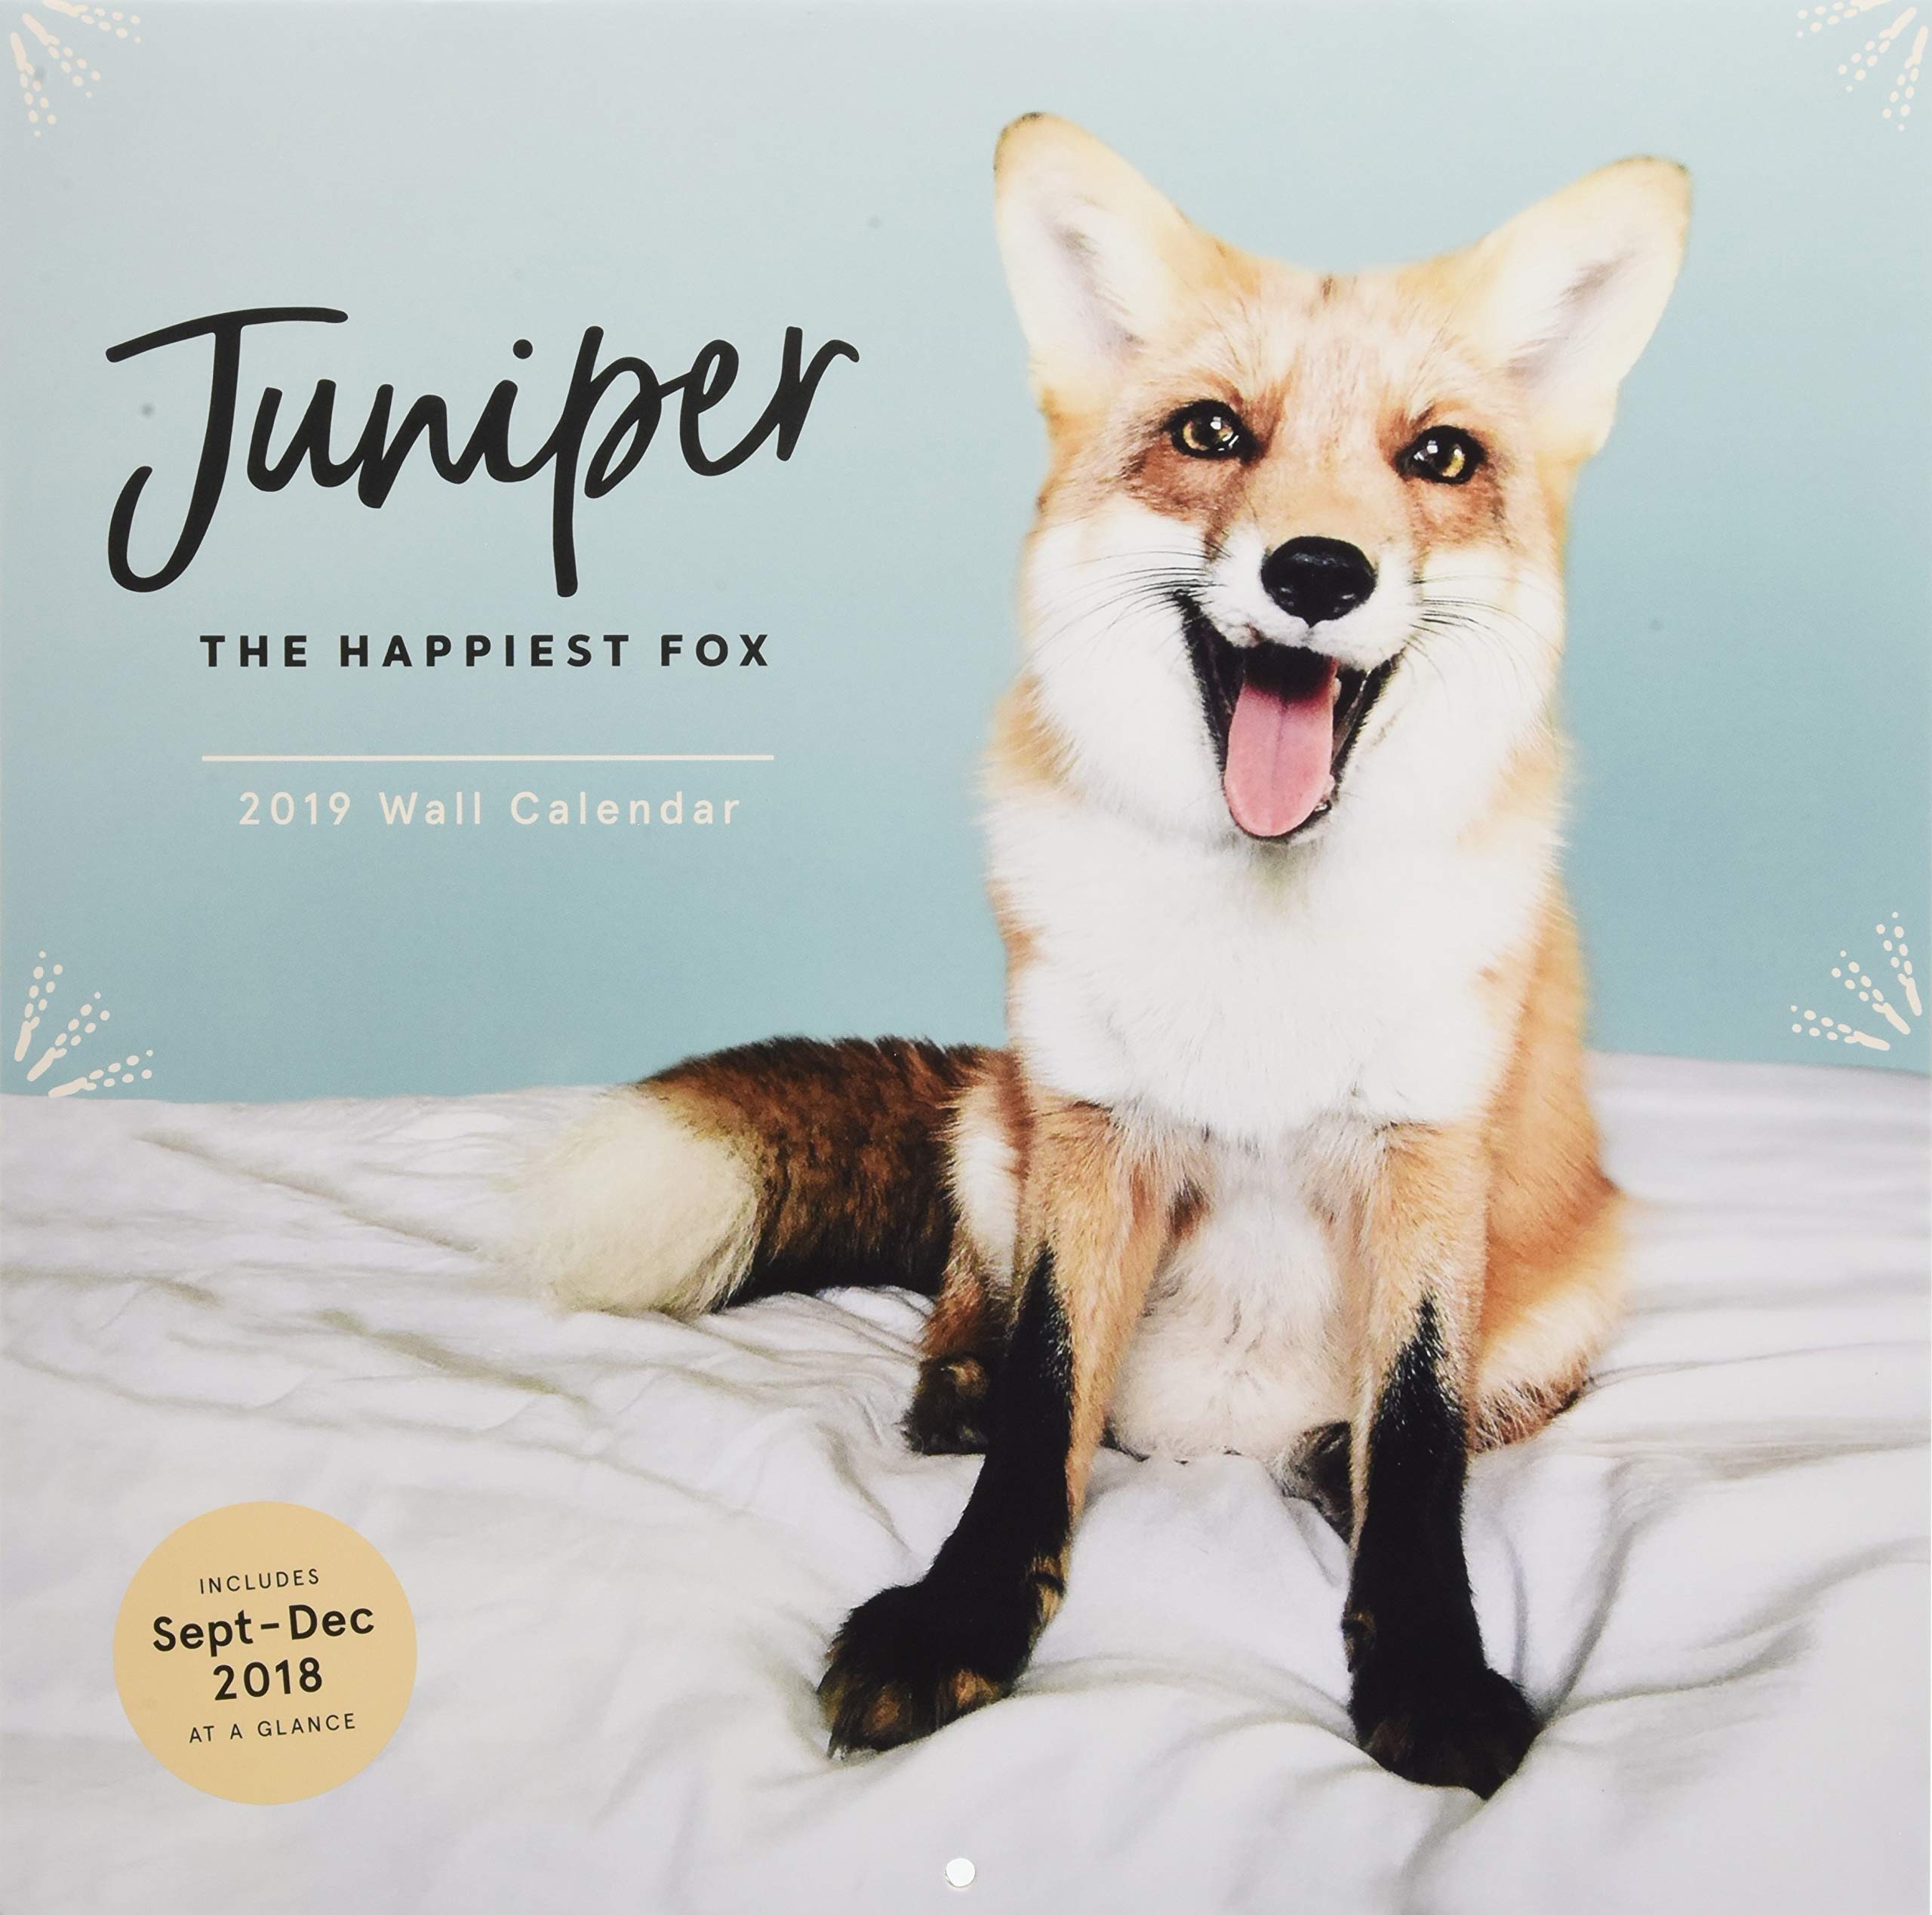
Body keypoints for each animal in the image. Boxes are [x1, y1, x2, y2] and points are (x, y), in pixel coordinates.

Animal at [517, 115, 1690, 1797]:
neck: (1263, 941)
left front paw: (1425, 1660)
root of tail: (1211, 1437)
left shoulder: (1427, 1152)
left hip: (1577, 1273)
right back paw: (951, 1384)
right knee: (970, 1292)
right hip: (995, 1120)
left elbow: (1417, 1443)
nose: (1317, 572)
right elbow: (1043, 1402)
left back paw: (1322, 1459)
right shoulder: (1091, 1130)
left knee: (1478, 1409)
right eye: (1211, 431)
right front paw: (961, 1611)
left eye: (1440, 457)